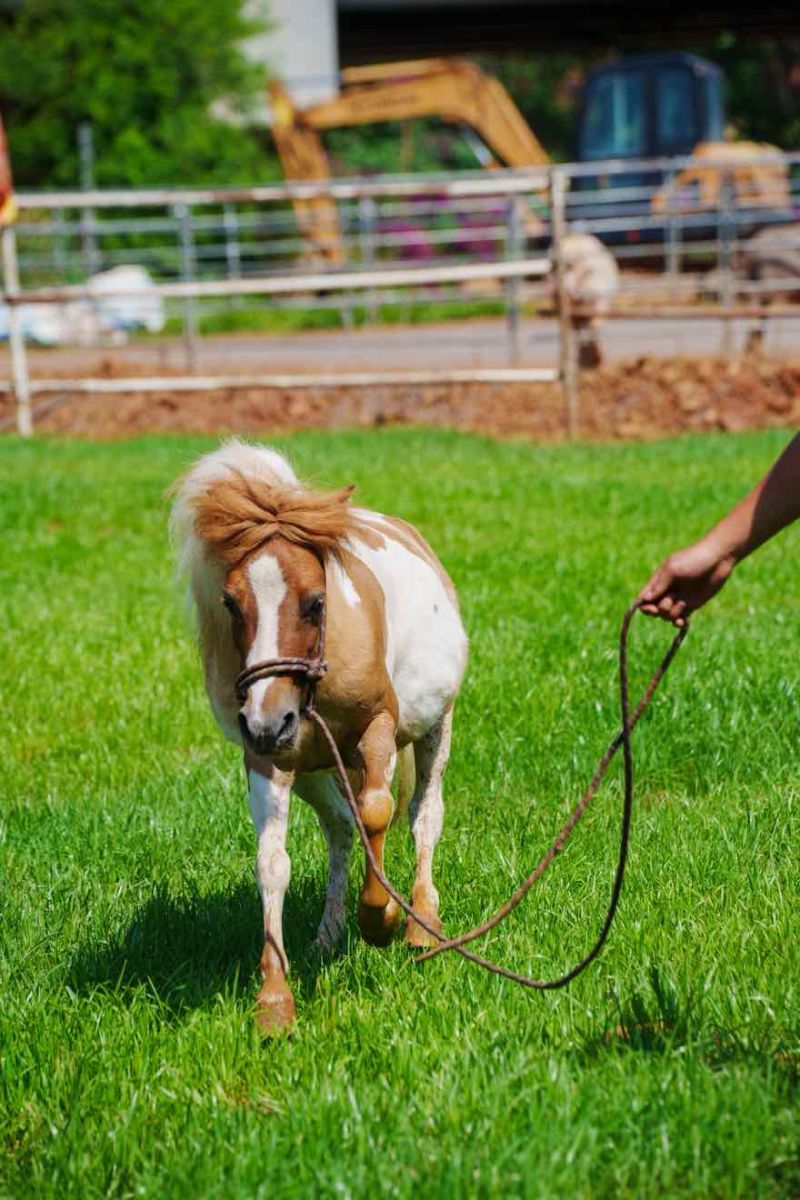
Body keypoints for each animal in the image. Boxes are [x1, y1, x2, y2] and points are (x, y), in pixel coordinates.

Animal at [170, 441, 468, 1030]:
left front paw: (379, 920)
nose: (266, 721)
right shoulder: (269, 762)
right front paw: (274, 1001)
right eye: (230, 603)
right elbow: (272, 864)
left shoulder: (378, 729)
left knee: (422, 815)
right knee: (339, 828)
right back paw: (329, 935)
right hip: (313, 771)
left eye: (315, 602)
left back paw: (421, 926)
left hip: (433, 730)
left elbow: (379, 813)